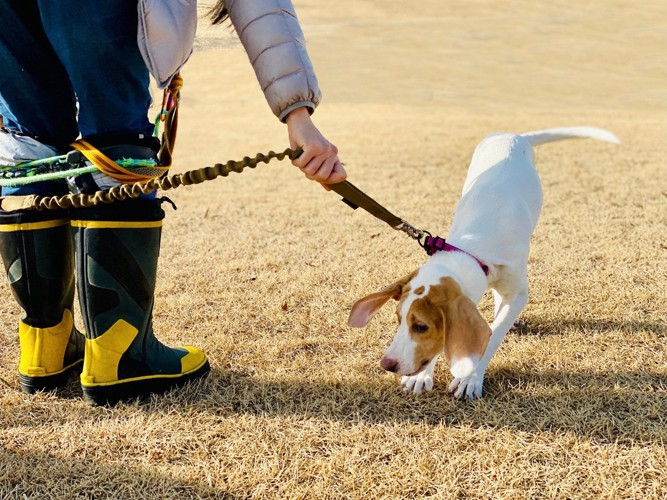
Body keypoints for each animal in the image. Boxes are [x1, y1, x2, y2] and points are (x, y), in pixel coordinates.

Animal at [350, 127, 620, 400]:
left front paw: (470, 377)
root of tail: (513, 135)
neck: (473, 250)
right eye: (398, 319)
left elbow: (492, 335)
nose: (387, 364)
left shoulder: (519, 291)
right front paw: (422, 376)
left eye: (421, 326)